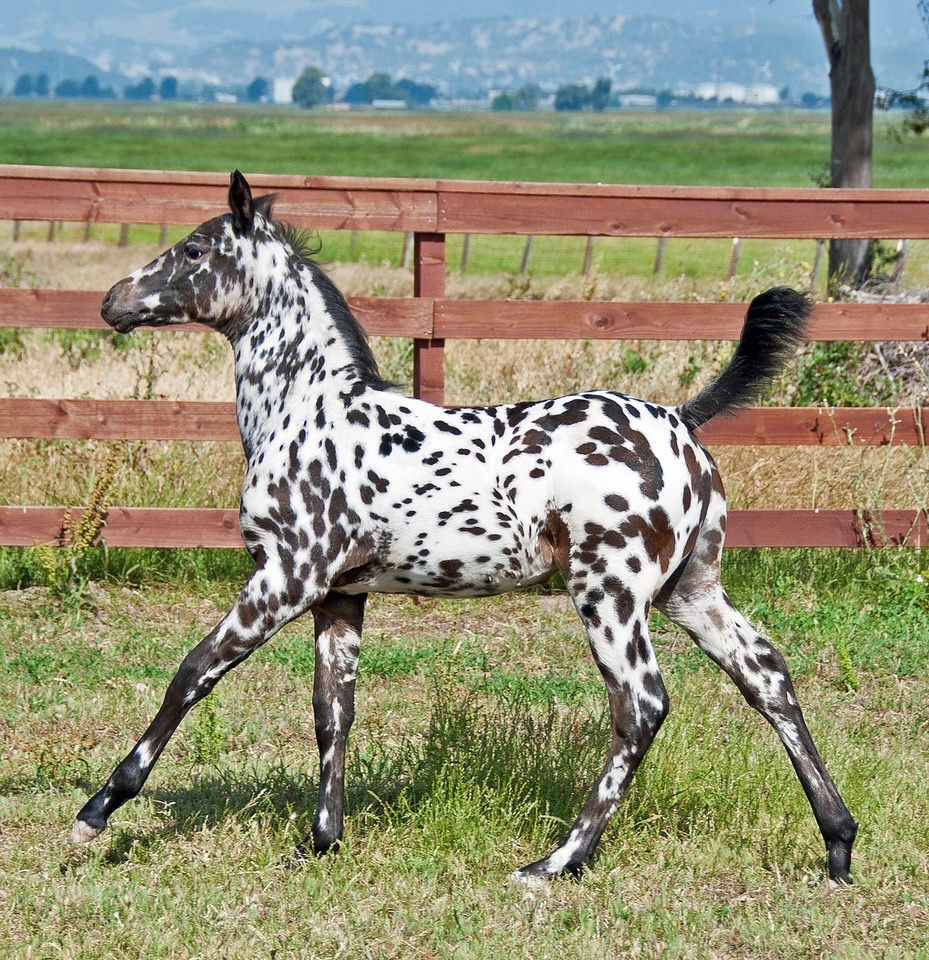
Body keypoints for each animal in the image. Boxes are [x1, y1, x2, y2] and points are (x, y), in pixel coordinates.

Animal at [72, 171, 857, 884]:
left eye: (195, 249)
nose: (111, 301)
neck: (307, 415)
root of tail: (679, 422)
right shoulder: (339, 594)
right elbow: (333, 711)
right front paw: (321, 840)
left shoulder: (285, 577)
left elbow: (191, 673)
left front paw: (99, 810)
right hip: (690, 590)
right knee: (766, 675)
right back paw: (838, 844)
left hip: (609, 593)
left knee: (641, 705)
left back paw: (557, 862)